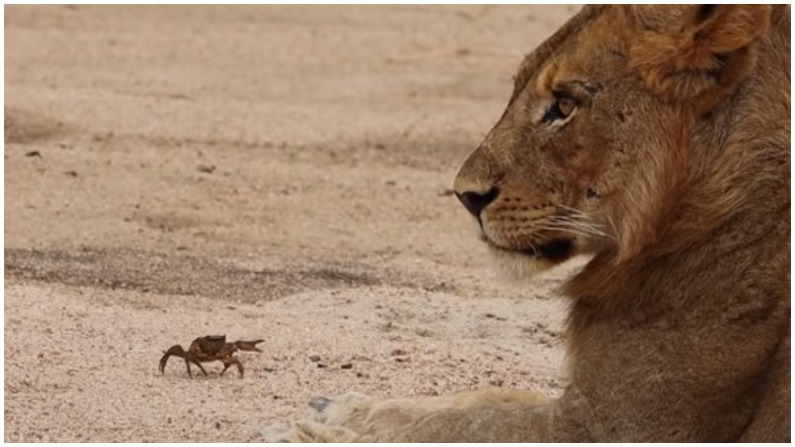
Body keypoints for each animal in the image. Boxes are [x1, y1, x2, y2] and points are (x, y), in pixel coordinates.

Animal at [268, 4, 788, 444]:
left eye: (564, 104)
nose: (466, 196)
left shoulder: (619, 428)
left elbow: (466, 424)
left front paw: (319, 431)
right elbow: (483, 400)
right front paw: (339, 409)